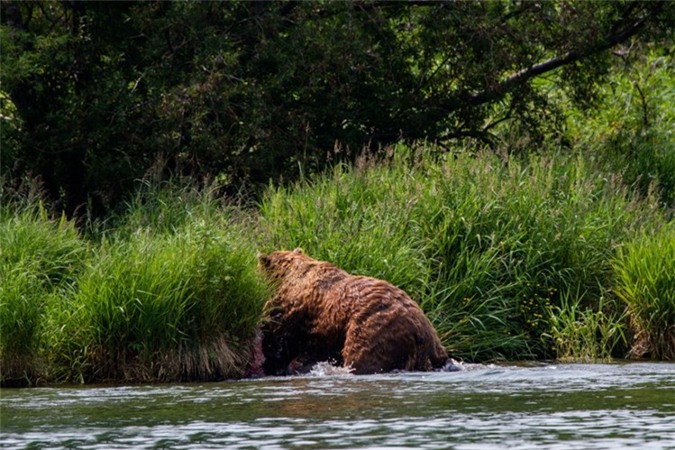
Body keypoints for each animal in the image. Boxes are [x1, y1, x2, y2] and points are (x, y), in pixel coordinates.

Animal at [258, 248, 448, 374]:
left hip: (373, 330)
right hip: (433, 347)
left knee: (362, 359)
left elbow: (281, 339)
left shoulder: (294, 313)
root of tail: (419, 331)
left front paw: (271, 363)